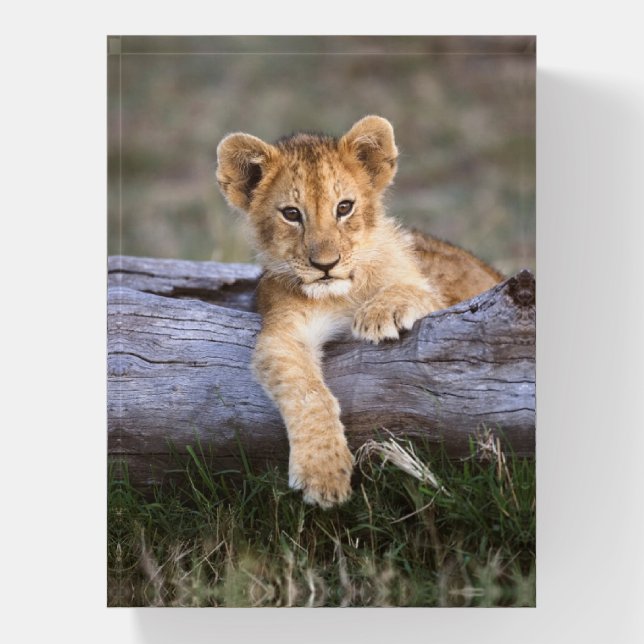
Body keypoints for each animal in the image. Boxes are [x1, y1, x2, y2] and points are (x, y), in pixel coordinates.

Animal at [216, 115, 503, 508]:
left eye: (344, 207)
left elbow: (414, 289)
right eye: (291, 214)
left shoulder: (441, 300)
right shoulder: (282, 332)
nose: (325, 265)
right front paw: (323, 473)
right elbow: (308, 393)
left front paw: (380, 313)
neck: (341, 295)